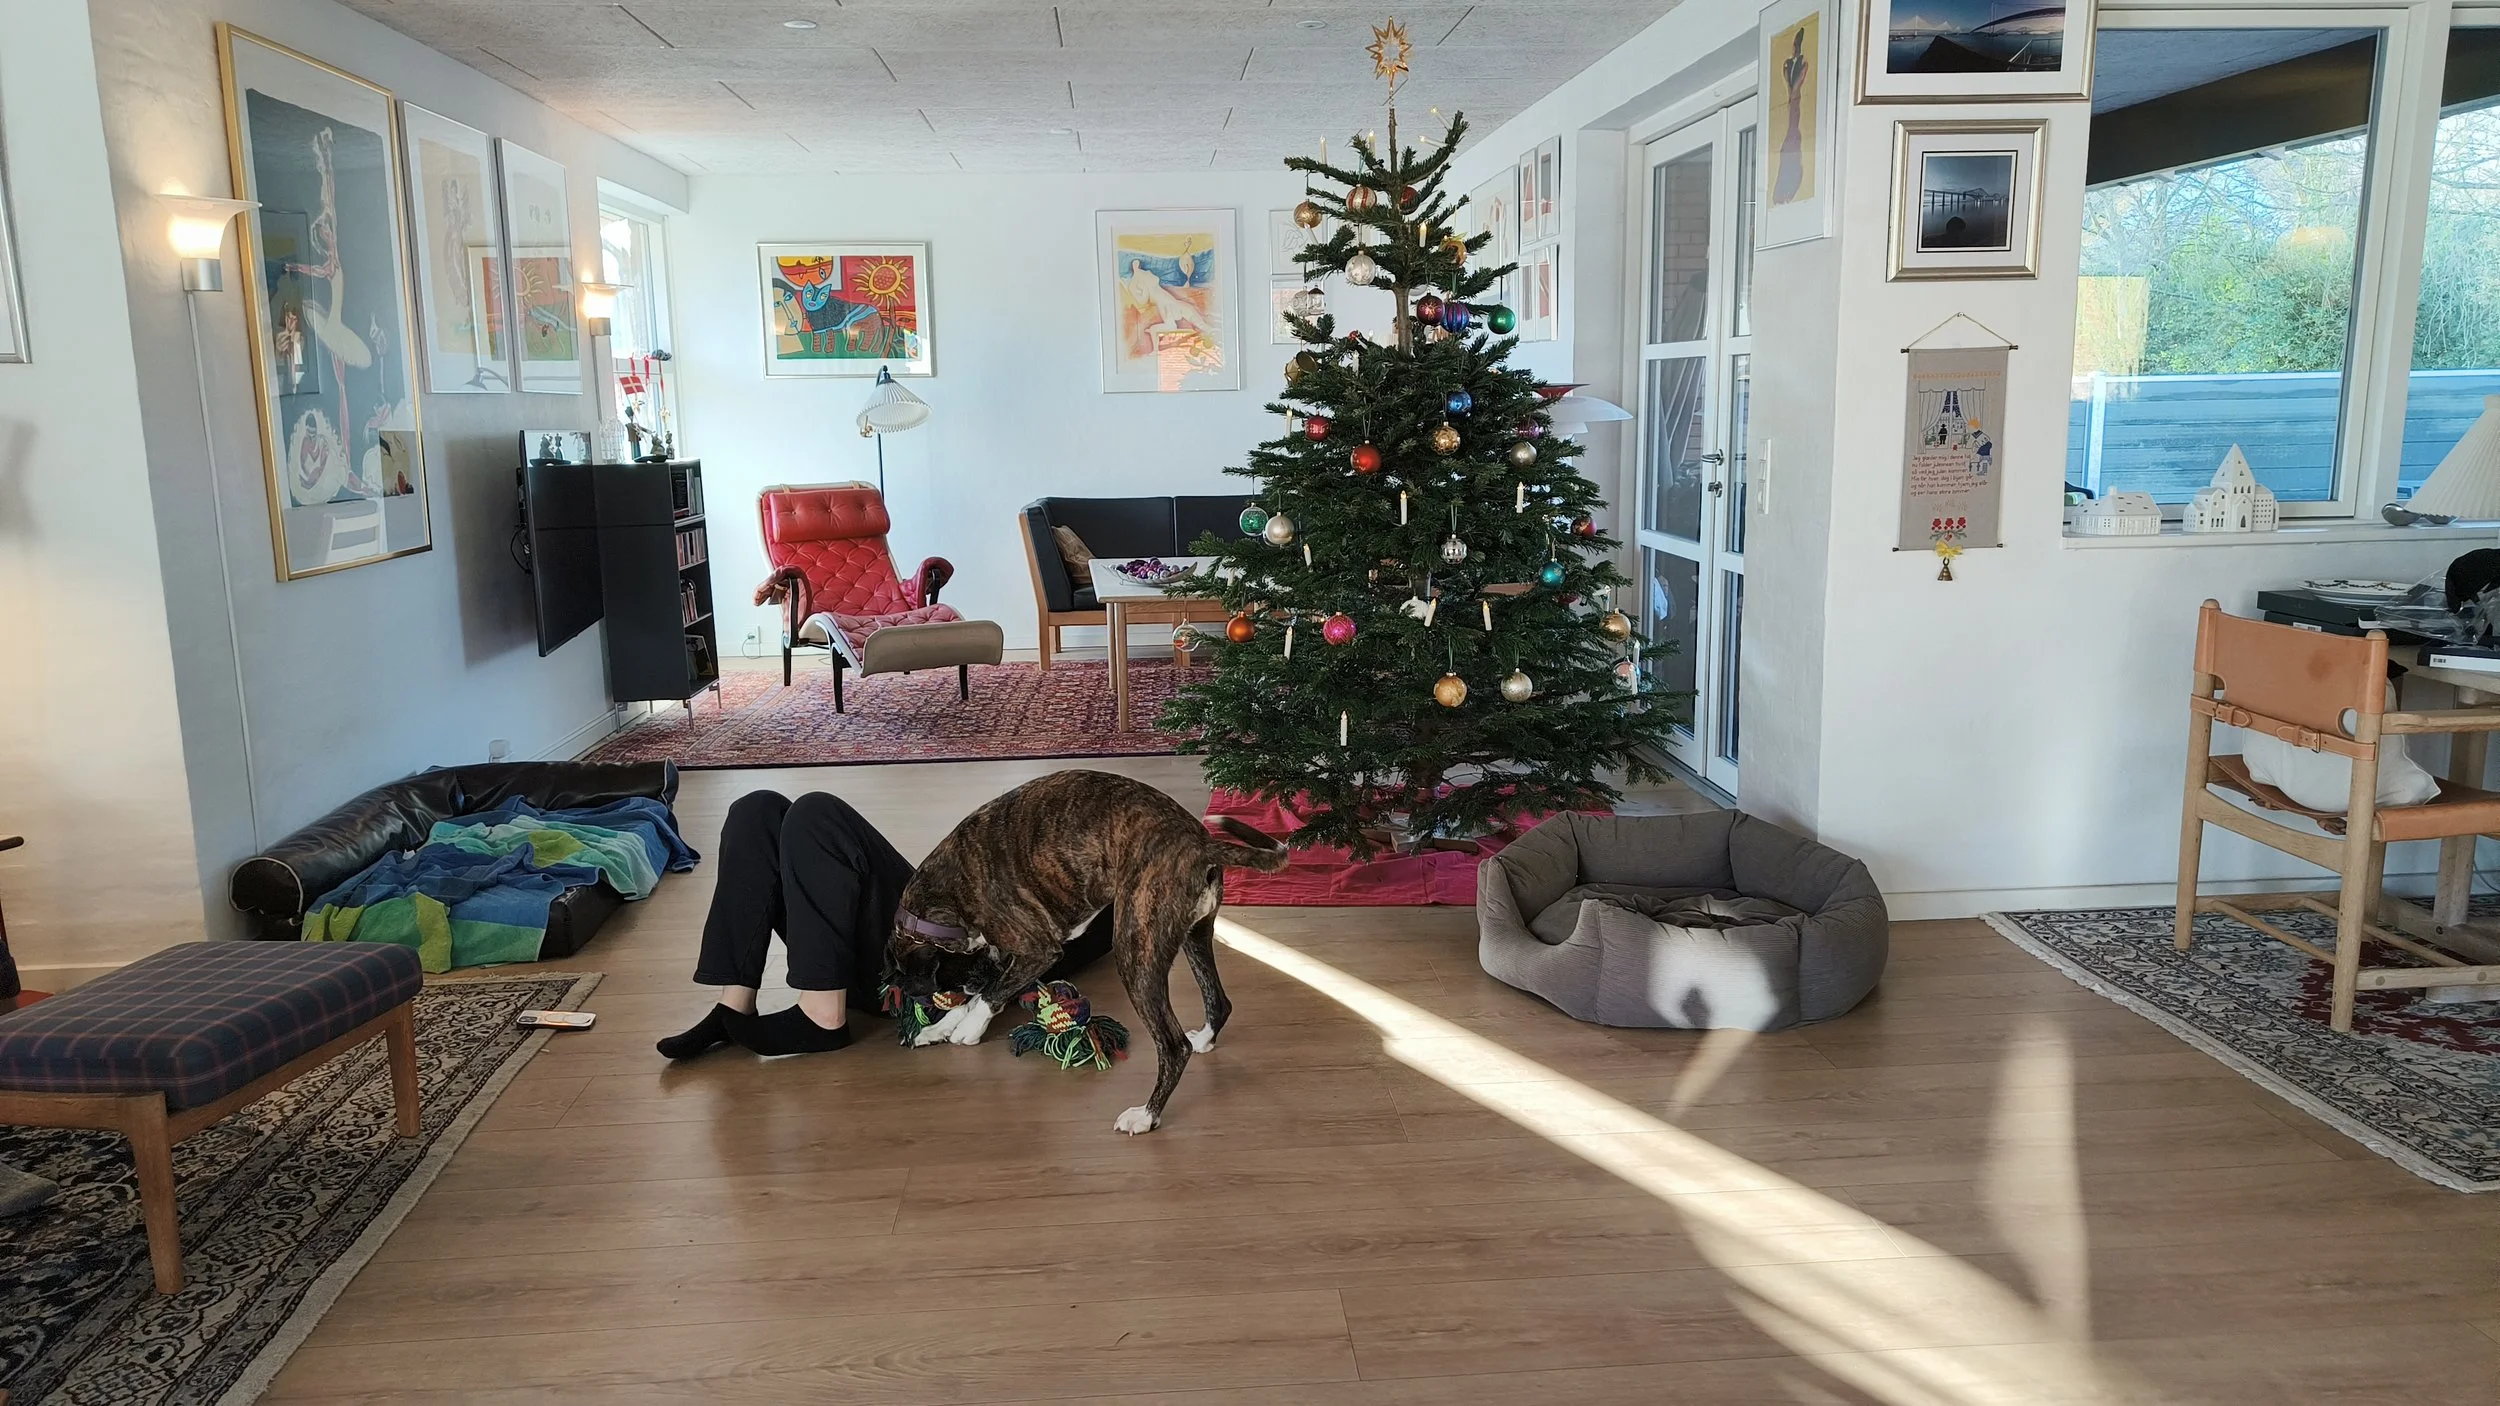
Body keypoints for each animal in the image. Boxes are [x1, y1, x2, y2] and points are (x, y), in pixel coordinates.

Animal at [885, 769, 1288, 1134]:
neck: (950, 891)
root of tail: (1200, 843)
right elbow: (987, 990)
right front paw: (941, 1026)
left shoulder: (1039, 951)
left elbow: (990, 993)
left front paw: (966, 1028)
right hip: (1195, 936)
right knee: (1218, 1001)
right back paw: (1203, 1039)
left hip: (1136, 952)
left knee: (1174, 1047)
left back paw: (1146, 1115)